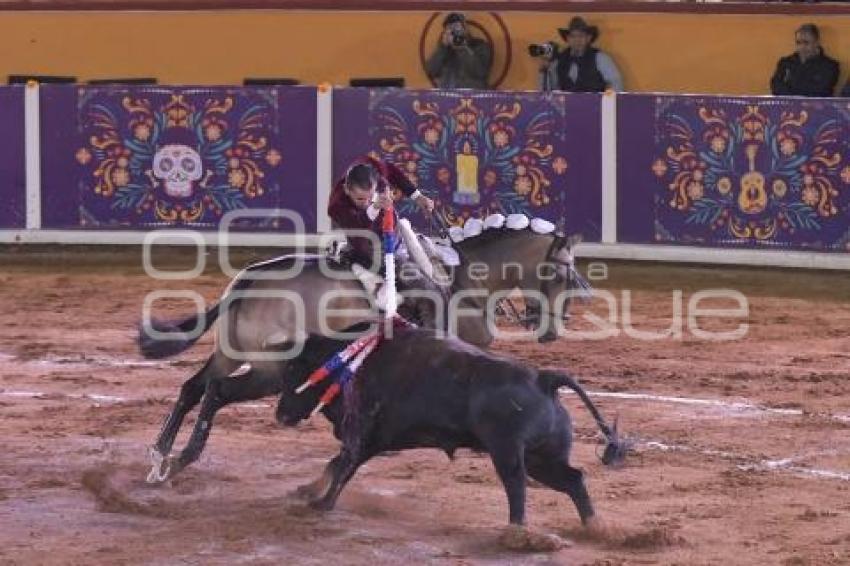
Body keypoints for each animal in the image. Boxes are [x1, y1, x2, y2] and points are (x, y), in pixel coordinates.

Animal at [272, 328, 624, 528]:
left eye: (291, 371)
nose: (280, 414)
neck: (351, 364)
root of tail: (544, 378)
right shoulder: (371, 439)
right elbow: (336, 464)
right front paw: (309, 490)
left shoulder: (361, 431)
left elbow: (343, 465)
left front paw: (321, 504)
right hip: (542, 457)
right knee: (573, 479)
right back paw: (594, 527)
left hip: (507, 450)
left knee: (516, 484)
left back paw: (516, 531)